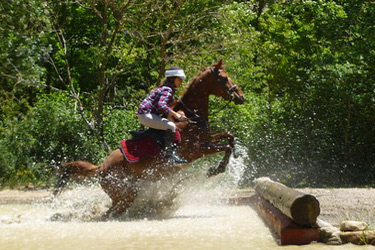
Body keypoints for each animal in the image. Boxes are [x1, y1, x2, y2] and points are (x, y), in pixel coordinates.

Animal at [54, 59, 245, 219]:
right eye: (224, 78)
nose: (241, 96)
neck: (191, 117)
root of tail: (100, 168)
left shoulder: (207, 138)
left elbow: (229, 136)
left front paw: (233, 156)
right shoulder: (196, 150)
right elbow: (225, 147)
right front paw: (217, 169)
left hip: (125, 194)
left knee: (111, 211)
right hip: (126, 193)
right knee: (110, 214)